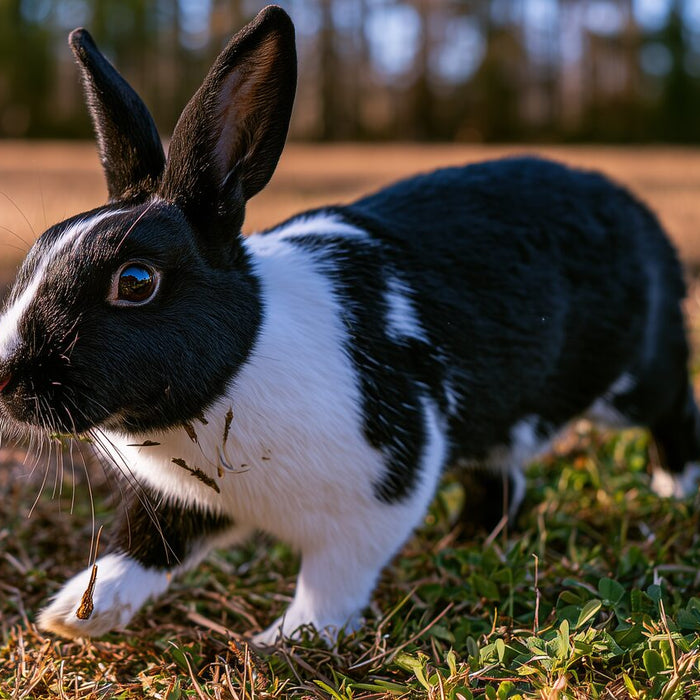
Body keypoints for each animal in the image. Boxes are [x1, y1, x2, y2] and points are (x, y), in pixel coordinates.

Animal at [0, 5, 698, 645]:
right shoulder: (186, 502)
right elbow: (143, 545)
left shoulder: (385, 488)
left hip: (631, 380)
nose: (5, 381)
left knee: (672, 407)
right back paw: (468, 536)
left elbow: (332, 579)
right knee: (502, 474)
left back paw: (673, 487)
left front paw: (285, 642)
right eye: (37, 251)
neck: (237, 373)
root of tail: (634, 211)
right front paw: (74, 616)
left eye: (137, 281)